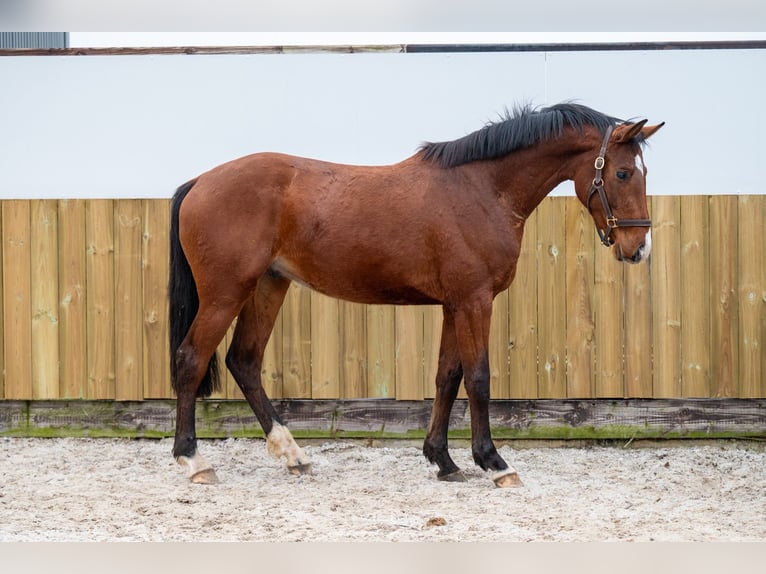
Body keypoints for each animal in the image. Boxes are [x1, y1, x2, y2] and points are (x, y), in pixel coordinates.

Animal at [171, 102, 664, 486]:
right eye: (622, 172)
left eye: (642, 172)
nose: (639, 248)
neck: (483, 189)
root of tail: (200, 181)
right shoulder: (474, 301)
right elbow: (479, 378)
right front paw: (493, 462)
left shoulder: (454, 304)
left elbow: (448, 377)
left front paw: (443, 460)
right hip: (225, 294)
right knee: (191, 359)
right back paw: (194, 461)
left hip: (268, 286)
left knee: (244, 361)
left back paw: (293, 454)